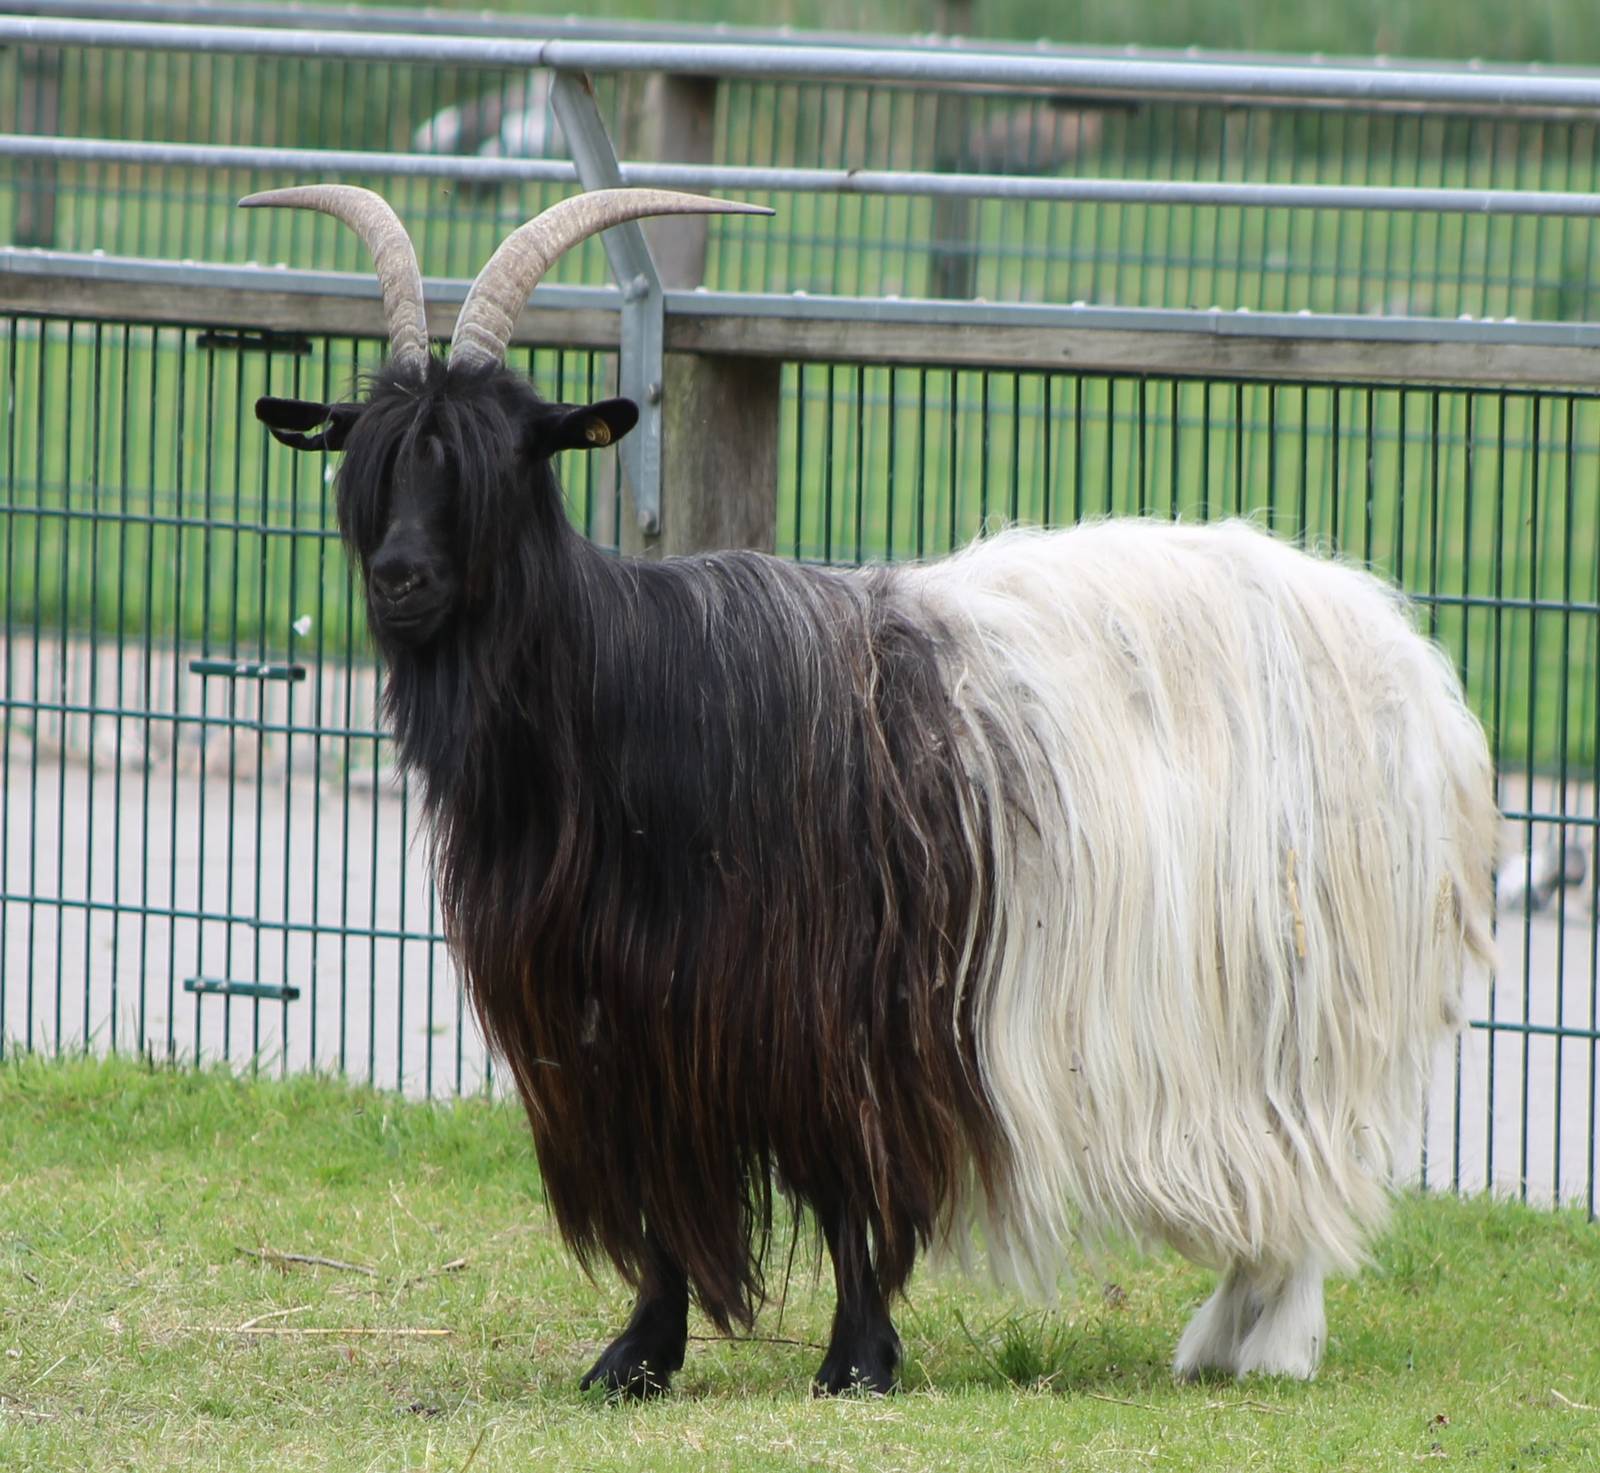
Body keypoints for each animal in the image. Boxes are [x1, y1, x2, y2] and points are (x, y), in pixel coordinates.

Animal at [246, 184, 1498, 1398]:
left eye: (505, 456)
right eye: (368, 457)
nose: (402, 579)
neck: (619, 694)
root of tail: (1409, 661)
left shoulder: (835, 1003)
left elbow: (851, 1185)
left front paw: (856, 1360)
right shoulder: (629, 1031)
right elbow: (660, 1210)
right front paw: (637, 1356)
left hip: (1298, 991)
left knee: (1304, 1164)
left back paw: (1263, 1341)